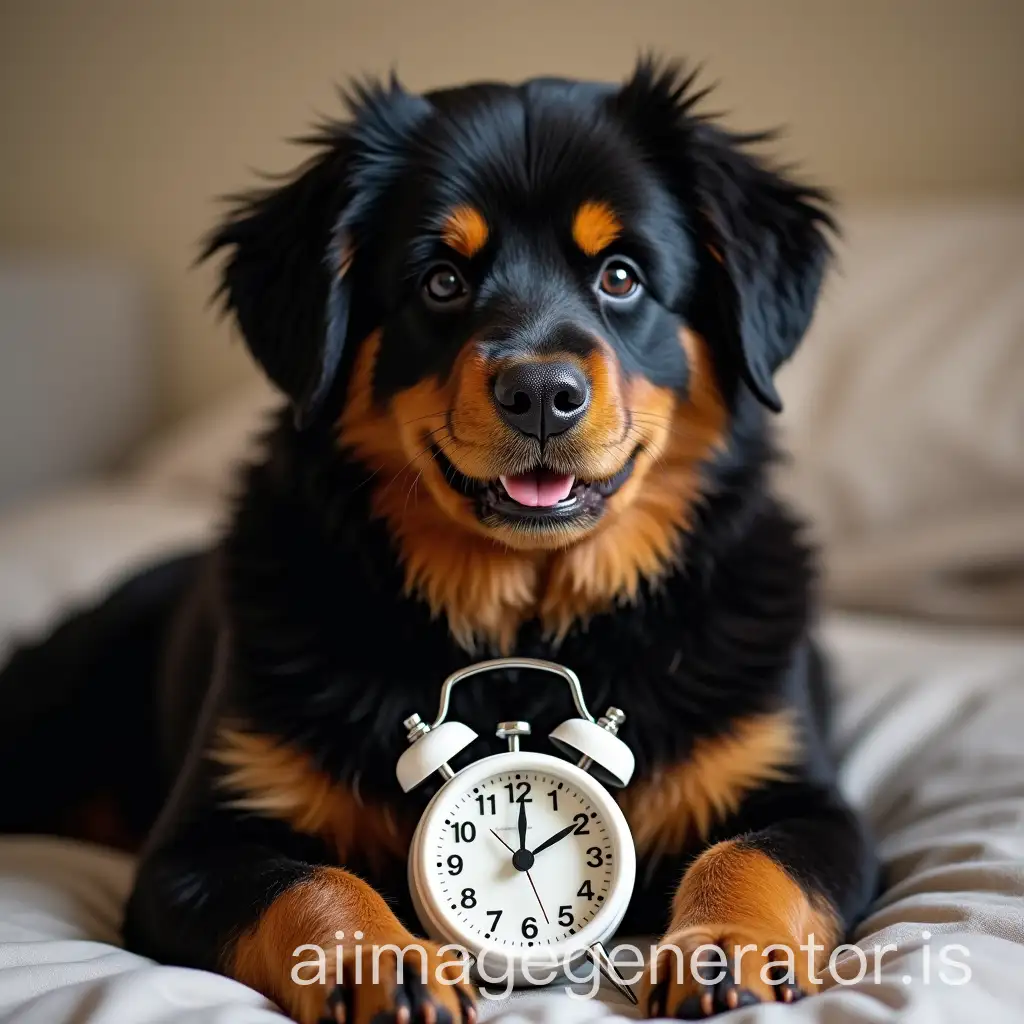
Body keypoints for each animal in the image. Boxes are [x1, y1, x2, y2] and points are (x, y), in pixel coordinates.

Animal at [2, 61, 880, 1024]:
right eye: (441, 282)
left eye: (620, 275)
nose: (542, 394)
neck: (520, 623)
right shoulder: (195, 846)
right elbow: (311, 882)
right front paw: (380, 959)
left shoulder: (812, 802)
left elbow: (751, 855)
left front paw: (719, 945)